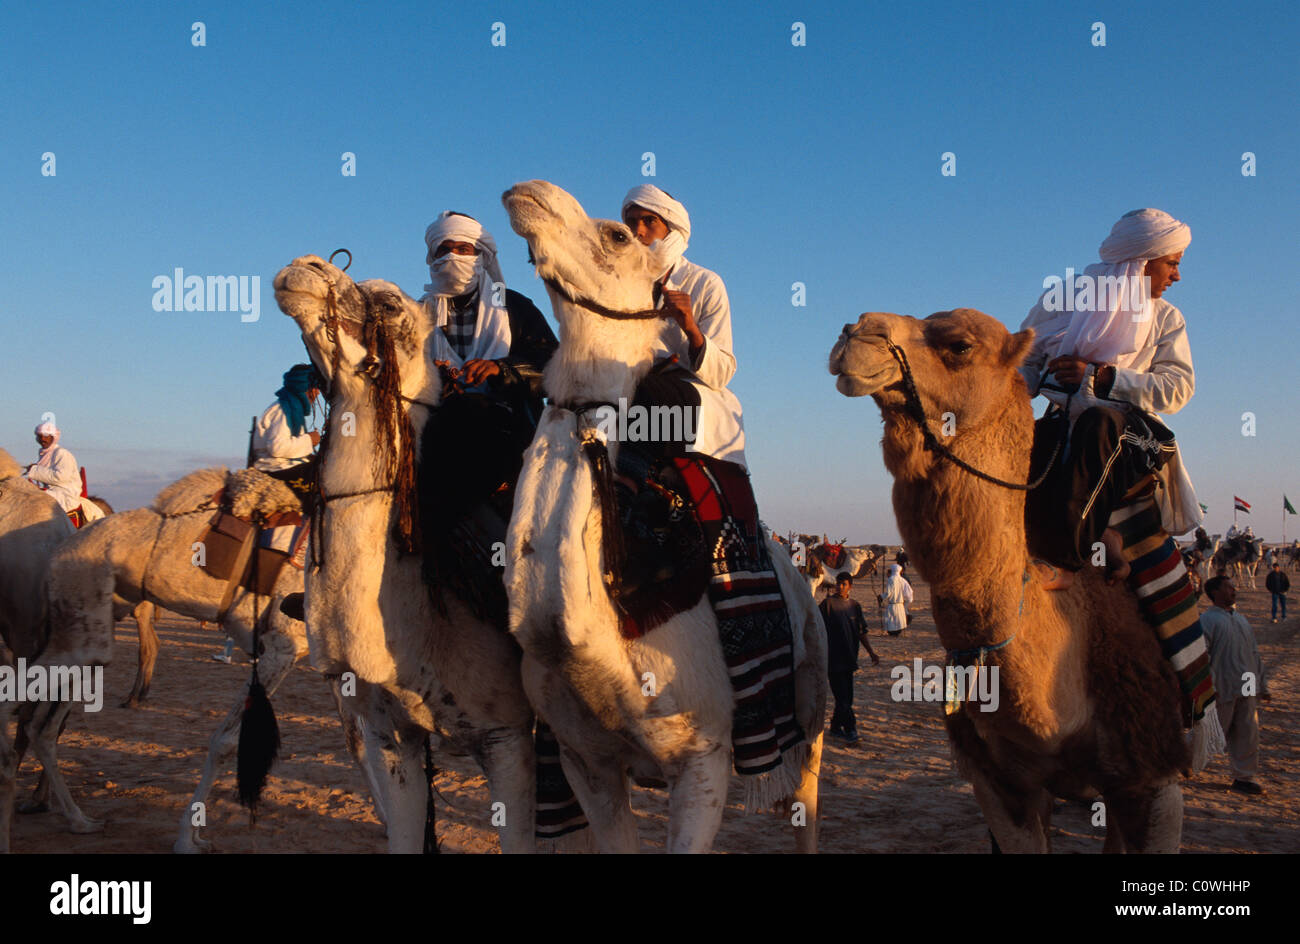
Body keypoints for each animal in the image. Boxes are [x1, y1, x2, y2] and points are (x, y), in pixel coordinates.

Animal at [501, 183, 826, 858]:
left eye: (618, 235)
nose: (529, 194)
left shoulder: (704, 757)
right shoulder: (584, 759)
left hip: (810, 705)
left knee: (806, 798)